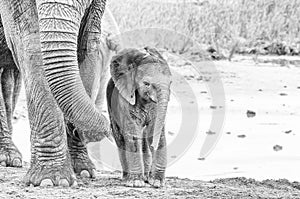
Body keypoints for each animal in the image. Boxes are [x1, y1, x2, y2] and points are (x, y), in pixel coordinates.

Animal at [0, 0, 113, 187]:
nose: (109, 129)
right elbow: (32, 46)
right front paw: (51, 180)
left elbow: (88, 46)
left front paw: (83, 171)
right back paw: (7, 158)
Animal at [106, 47, 171, 188]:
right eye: (146, 84)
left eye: (170, 82)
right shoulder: (125, 100)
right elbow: (133, 135)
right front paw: (136, 183)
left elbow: (155, 132)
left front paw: (157, 183)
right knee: (121, 139)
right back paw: (127, 178)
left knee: (144, 140)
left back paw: (146, 177)